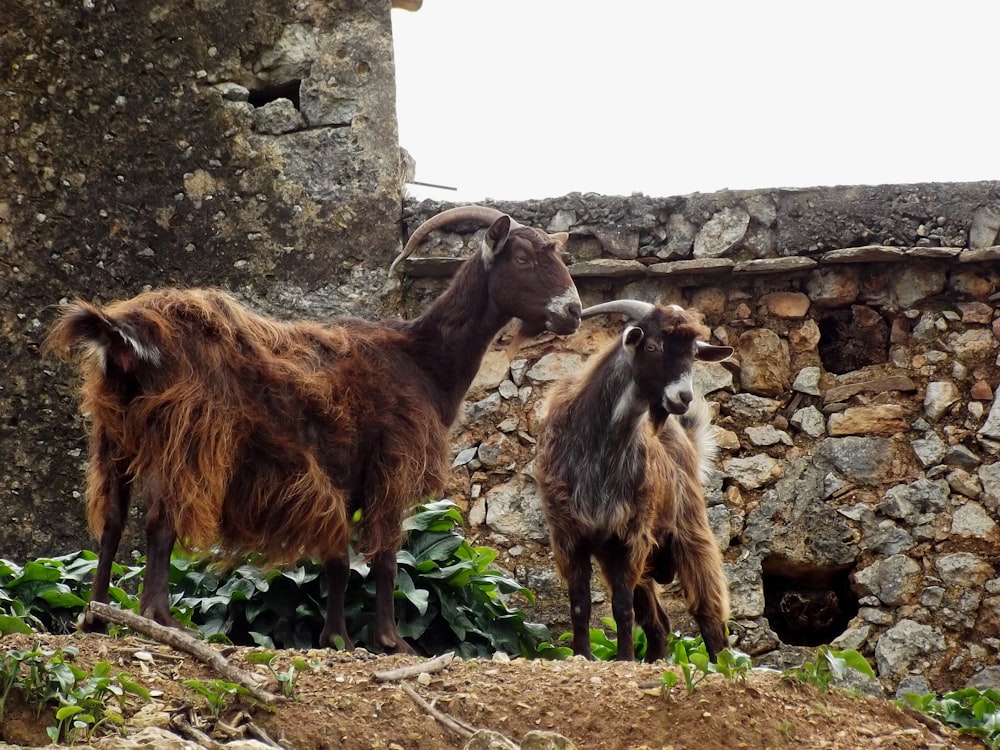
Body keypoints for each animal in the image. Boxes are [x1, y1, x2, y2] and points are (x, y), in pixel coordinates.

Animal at [47, 204, 584, 652]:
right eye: (521, 257)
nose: (574, 311)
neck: (421, 359)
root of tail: (124, 334)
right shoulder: (391, 464)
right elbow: (386, 556)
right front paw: (392, 642)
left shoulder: (342, 479)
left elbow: (339, 562)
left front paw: (336, 638)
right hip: (186, 435)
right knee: (160, 518)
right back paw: (161, 619)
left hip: (114, 435)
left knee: (112, 520)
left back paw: (96, 617)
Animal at [540, 302, 736, 664]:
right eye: (652, 346)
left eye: (693, 355)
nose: (683, 397)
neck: (598, 447)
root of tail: (686, 440)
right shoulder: (570, 535)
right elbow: (580, 603)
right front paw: (583, 654)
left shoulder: (631, 535)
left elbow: (621, 606)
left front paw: (625, 658)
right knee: (659, 621)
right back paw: (656, 658)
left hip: (689, 532)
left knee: (708, 609)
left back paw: (720, 664)